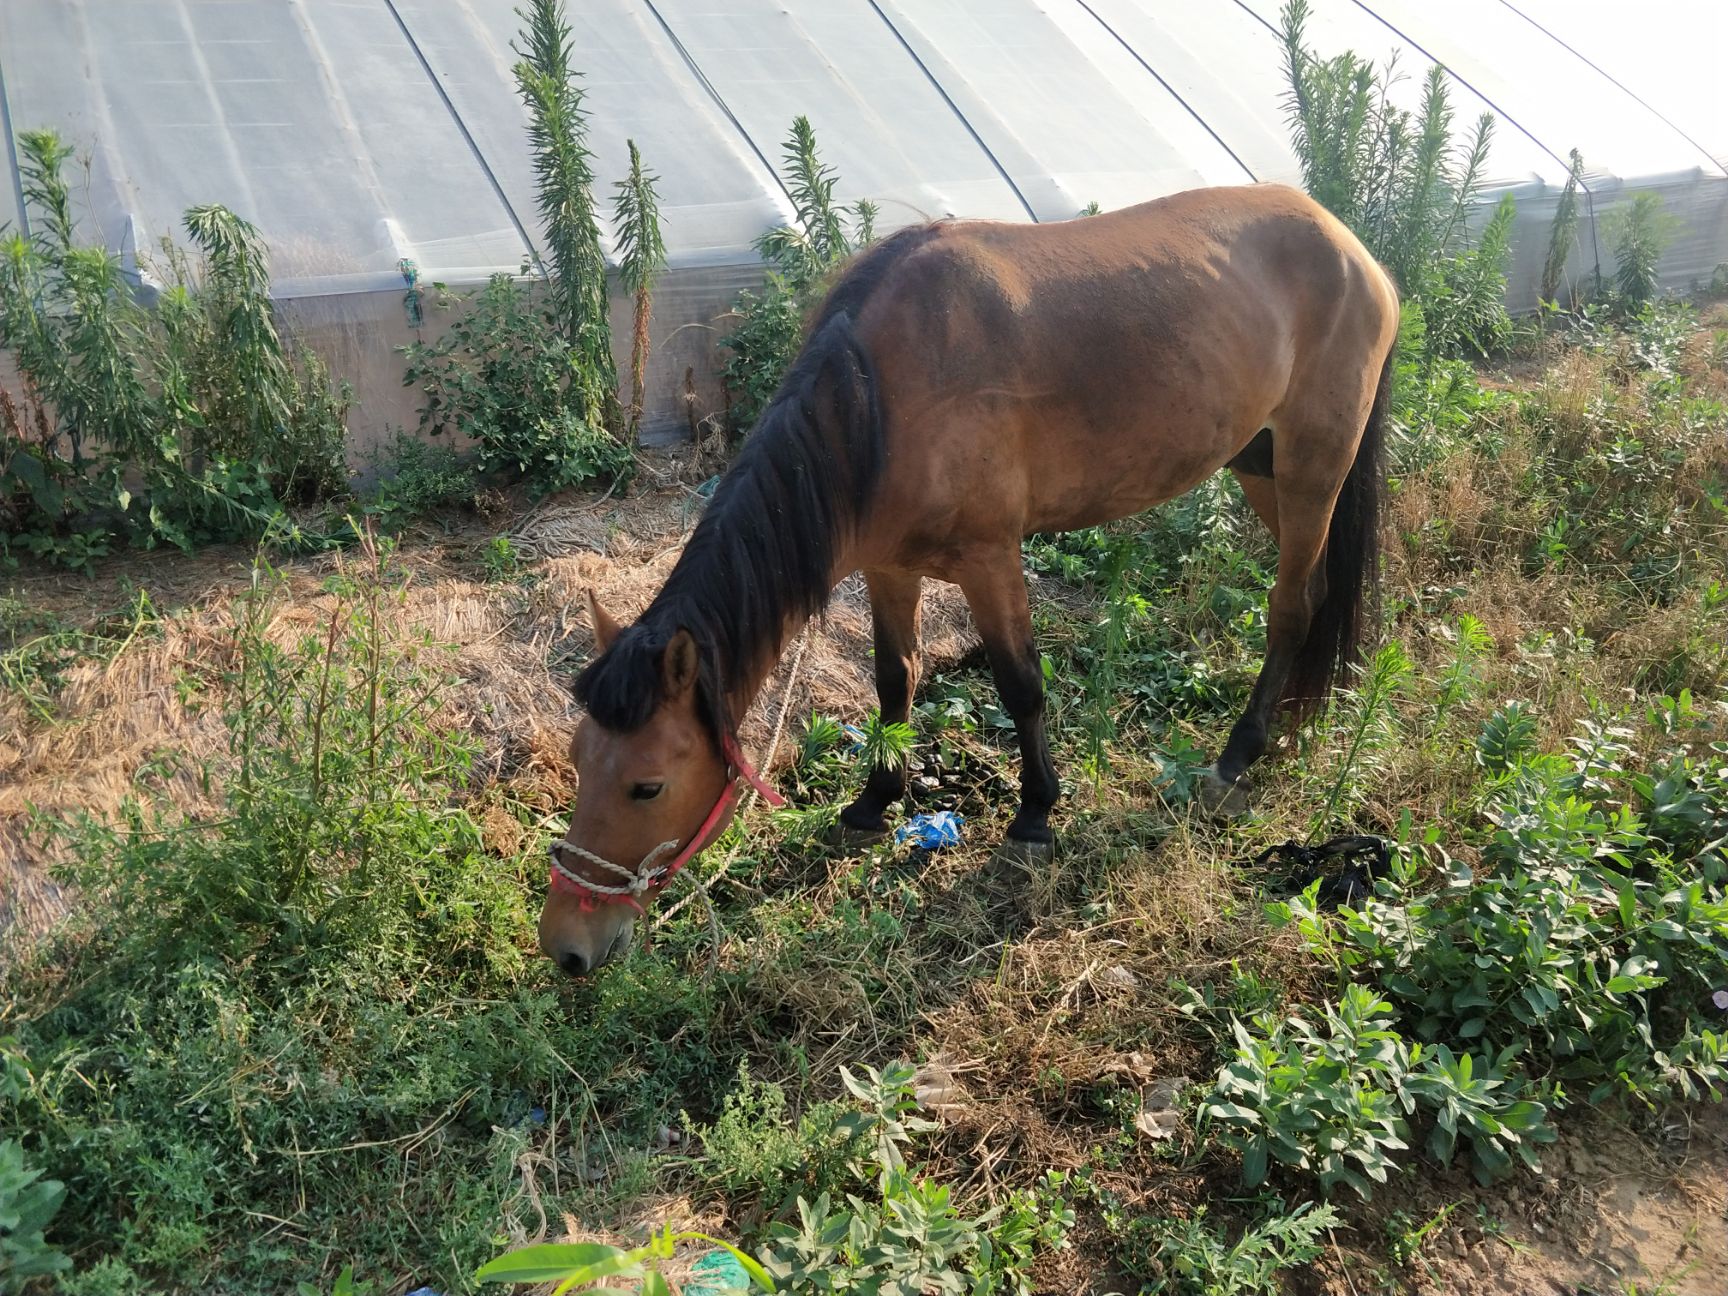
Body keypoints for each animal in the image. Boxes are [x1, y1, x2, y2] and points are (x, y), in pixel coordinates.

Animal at [540, 182, 1400, 975]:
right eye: (580, 760)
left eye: (647, 786)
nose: (566, 947)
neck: (881, 398)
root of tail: (1349, 245)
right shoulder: (887, 566)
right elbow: (895, 680)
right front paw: (875, 800)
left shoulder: (992, 561)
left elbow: (1021, 685)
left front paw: (1035, 815)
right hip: (1261, 466)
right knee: (1317, 596)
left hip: (1313, 465)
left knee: (1290, 607)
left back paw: (1238, 753)